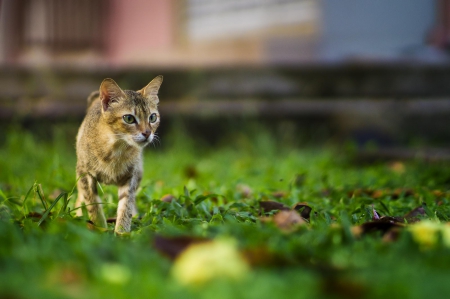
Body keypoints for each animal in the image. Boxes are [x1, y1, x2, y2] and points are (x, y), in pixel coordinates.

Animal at [75, 75, 163, 234]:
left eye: (152, 117)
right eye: (129, 118)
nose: (147, 133)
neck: (116, 150)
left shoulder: (131, 177)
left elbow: (125, 206)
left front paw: (122, 232)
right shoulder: (85, 174)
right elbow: (93, 204)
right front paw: (100, 228)